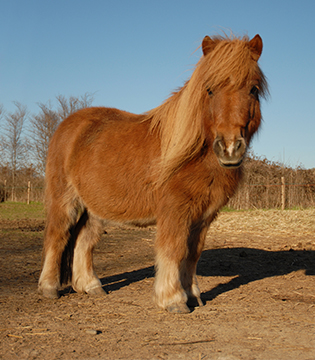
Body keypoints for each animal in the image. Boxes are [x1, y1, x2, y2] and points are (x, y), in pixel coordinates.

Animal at [37, 35, 270, 314]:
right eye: (210, 89)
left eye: (253, 89)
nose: (230, 148)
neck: (191, 153)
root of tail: (68, 125)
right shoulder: (175, 211)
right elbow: (174, 250)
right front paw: (173, 299)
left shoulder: (204, 216)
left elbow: (192, 254)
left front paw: (192, 295)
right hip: (65, 200)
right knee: (57, 237)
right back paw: (49, 288)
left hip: (93, 208)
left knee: (84, 240)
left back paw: (91, 286)